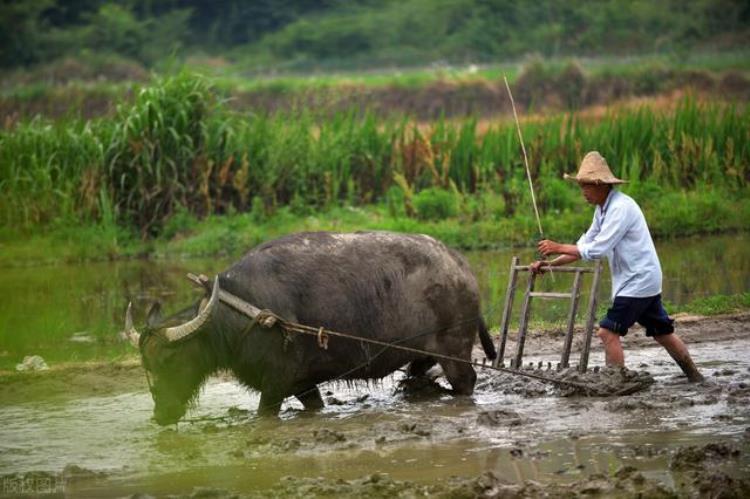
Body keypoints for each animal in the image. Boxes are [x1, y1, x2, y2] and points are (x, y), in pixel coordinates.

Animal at [124, 232, 500, 424]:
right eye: (146, 365)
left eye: (171, 360)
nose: (161, 414)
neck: (240, 315)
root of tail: (460, 266)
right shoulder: (302, 384)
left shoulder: (275, 385)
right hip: (420, 355)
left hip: (455, 350)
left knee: (465, 382)